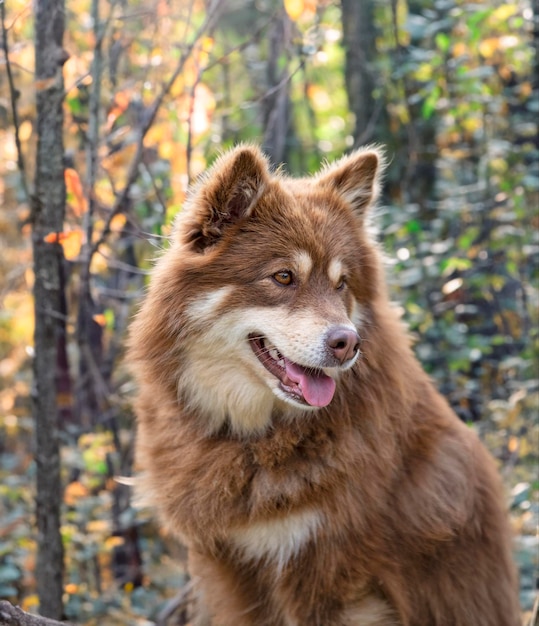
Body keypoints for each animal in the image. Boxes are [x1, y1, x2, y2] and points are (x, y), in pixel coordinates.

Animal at [129, 144, 520, 620]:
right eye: (283, 277)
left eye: (342, 284)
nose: (347, 343)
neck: (253, 437)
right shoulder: (228, 567)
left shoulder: (329, 575)